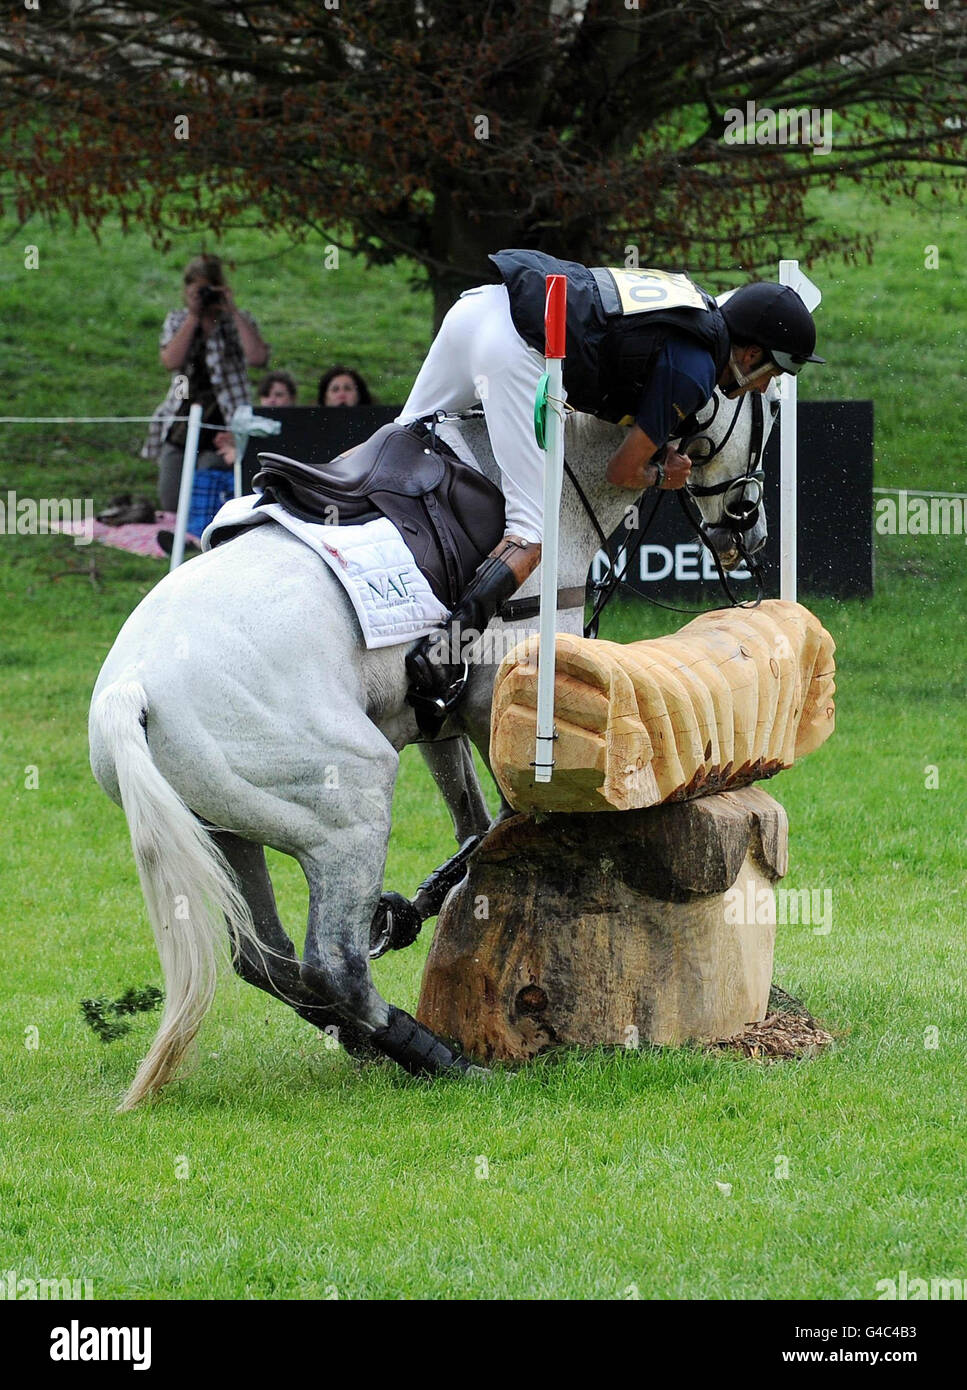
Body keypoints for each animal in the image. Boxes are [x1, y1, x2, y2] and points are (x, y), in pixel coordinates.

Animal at [90, 386, 778, 1112]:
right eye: (764, 417)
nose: (750, 531)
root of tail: (130, 689)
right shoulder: (499, 700)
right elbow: (517, 812)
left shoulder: (439, 716)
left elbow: (478, 822)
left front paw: (430, 905)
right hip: (348, 803)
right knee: (333, 964)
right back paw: (442, 1059)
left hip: (225, 828)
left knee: (267, 958)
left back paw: (368, 1038)